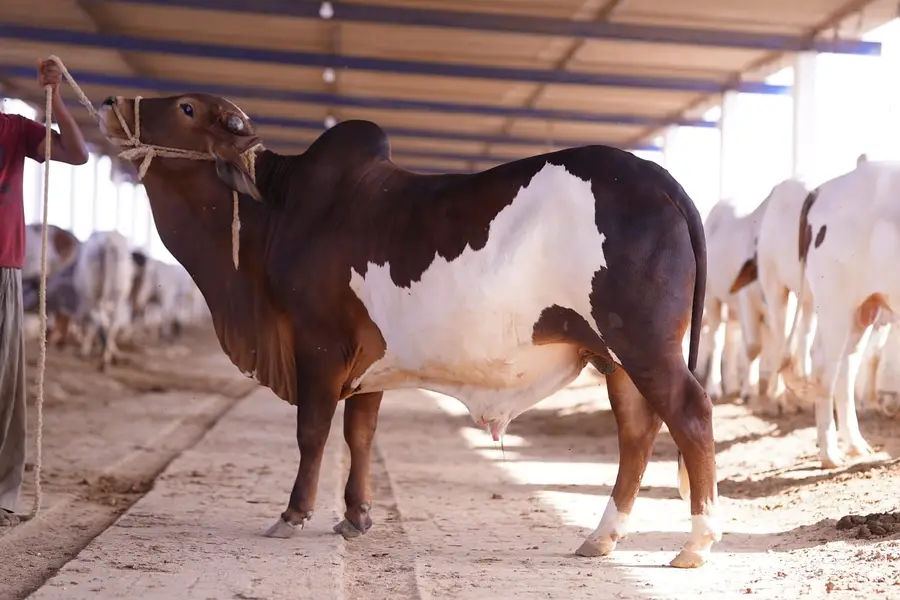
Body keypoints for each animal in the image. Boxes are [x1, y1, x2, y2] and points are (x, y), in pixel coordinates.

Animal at [73, 230, 136, 370]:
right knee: (111, 322)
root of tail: (109, 240)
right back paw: (105, 355)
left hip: (95, 290)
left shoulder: (87, 298)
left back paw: (101, 355)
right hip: (118, 290)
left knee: (101, 319)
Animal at [97, 92, 719, 568]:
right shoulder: (367, 364)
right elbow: (360, 435)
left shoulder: (318, 345)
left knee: (690, 414)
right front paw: (356, 516)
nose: (108, 103)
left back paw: (695, 544)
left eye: (185, 106)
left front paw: (293, 515)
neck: (279, 210)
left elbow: (313, 433)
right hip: (615, 356)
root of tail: (659, 178)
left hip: (643, 345)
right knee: (637, 432)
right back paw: (601, 538)